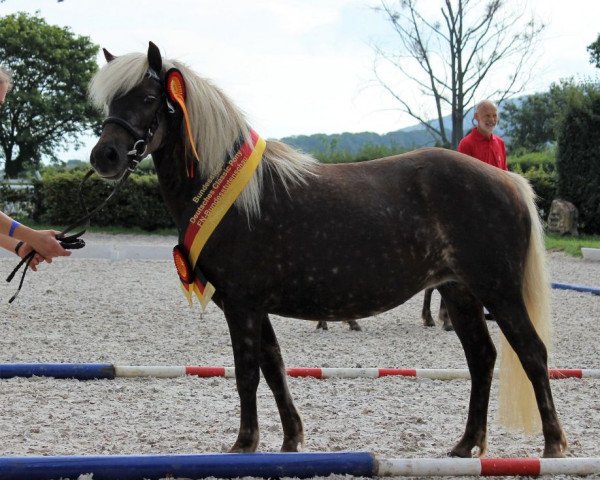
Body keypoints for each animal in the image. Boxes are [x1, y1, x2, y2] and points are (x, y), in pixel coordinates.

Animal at [88, 44, 568, 458]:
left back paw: (552, 447)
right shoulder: (255, 306)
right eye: (110, 100)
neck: (232, 194)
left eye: (150, 97)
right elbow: (274, 369)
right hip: (460, 292)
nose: (104, 156)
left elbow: (247, 374)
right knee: (482, 359)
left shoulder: (241, 305)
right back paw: (467, 445)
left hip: (498, 291)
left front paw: (245, 444)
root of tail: (507, 180)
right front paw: (291, 440)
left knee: (532, 353)